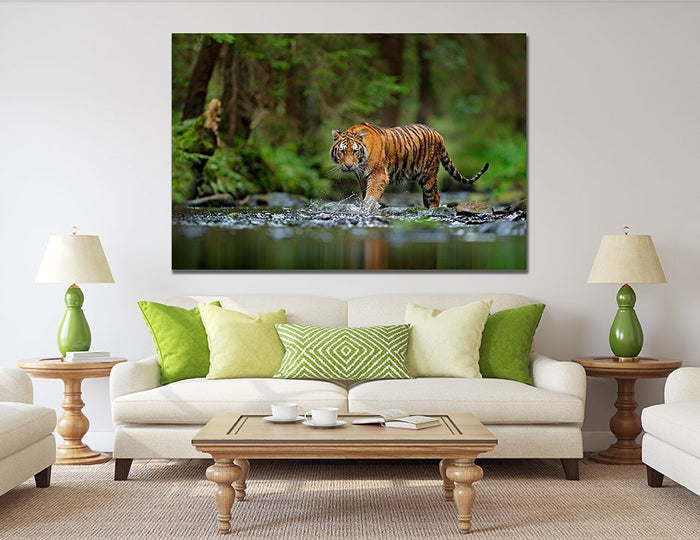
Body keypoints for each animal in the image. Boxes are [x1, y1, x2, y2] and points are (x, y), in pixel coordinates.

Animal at [330, 122, 489, 212]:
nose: (348, 166)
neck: (360, 163)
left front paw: (367, 208)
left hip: (428, 176)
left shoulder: (378, 175)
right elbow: (366, 194)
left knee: (435, 197)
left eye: (354, 151)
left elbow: (371, 195)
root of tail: (438, 133)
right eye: (342, 151)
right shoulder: (362, 178)